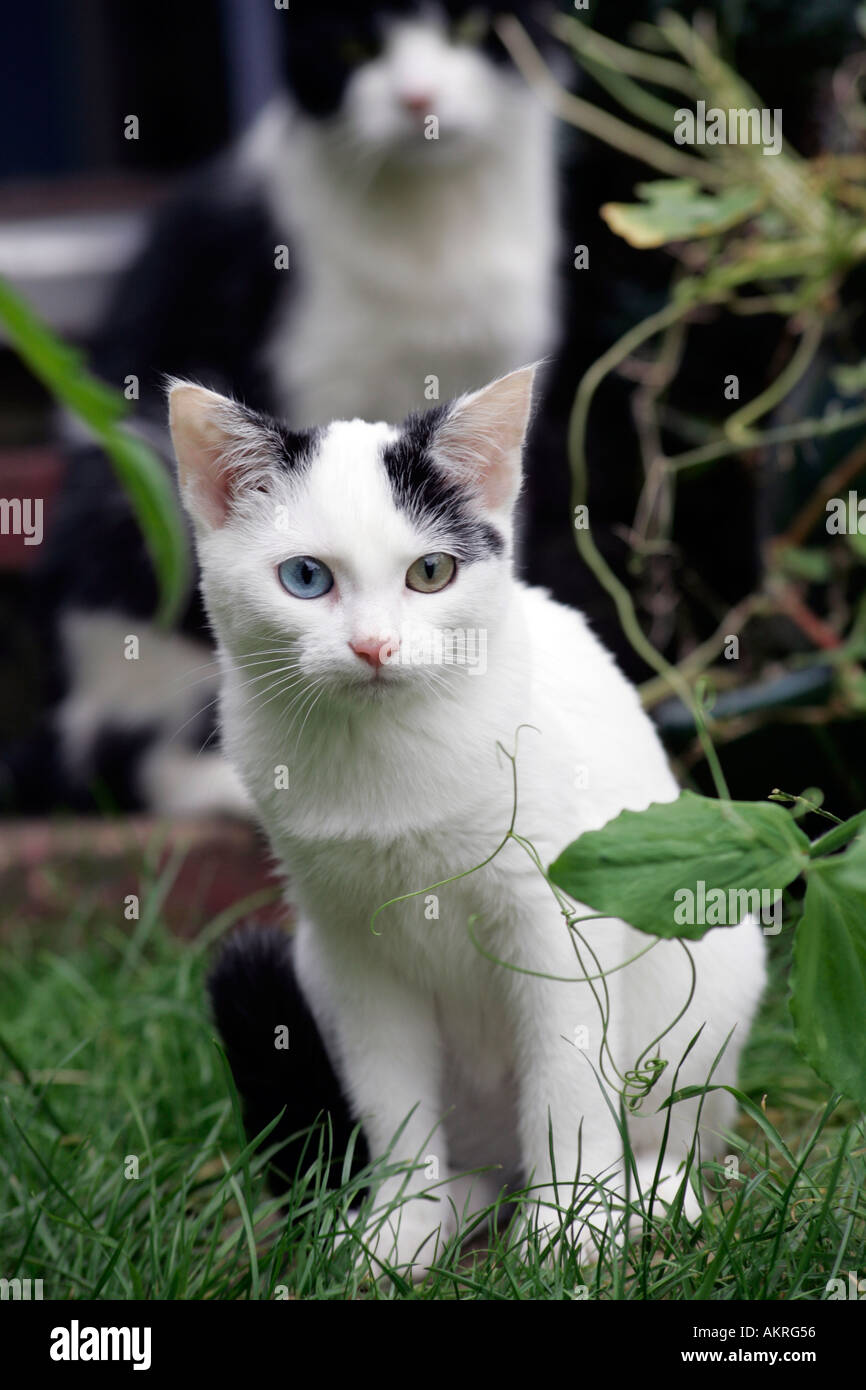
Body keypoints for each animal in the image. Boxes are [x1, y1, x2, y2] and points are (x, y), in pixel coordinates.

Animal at [169, 364, 767, 1273]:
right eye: (305, 578)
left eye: (430, 573)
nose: (375, 647)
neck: (385, 750)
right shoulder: (351, 944)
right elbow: (390, 1096)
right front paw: (400, 1227)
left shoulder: (557, 914)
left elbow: (566, 1077)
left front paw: (565, 1232)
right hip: (313, 968)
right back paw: (455, 1206)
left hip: (714, 973)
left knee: (675, 1127)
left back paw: (647, 1196)